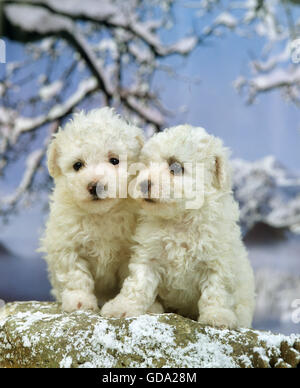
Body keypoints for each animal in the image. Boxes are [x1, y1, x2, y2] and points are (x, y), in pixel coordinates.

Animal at [40, 107, 150, 312]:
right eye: (77, 165)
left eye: (114, 160)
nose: (94, 186)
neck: (101, 214)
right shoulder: (67, 244)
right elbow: (75, 275)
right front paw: (79, 301)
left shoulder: (128, 252)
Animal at [101, 126, 255, 328]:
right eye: (145, 165)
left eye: (175, 167)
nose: (143, 184)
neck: (180, 219)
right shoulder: (149, 255)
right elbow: (137, 284)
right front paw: (122, 307)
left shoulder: (218, 260)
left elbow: (216, 290)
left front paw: (217, 315)